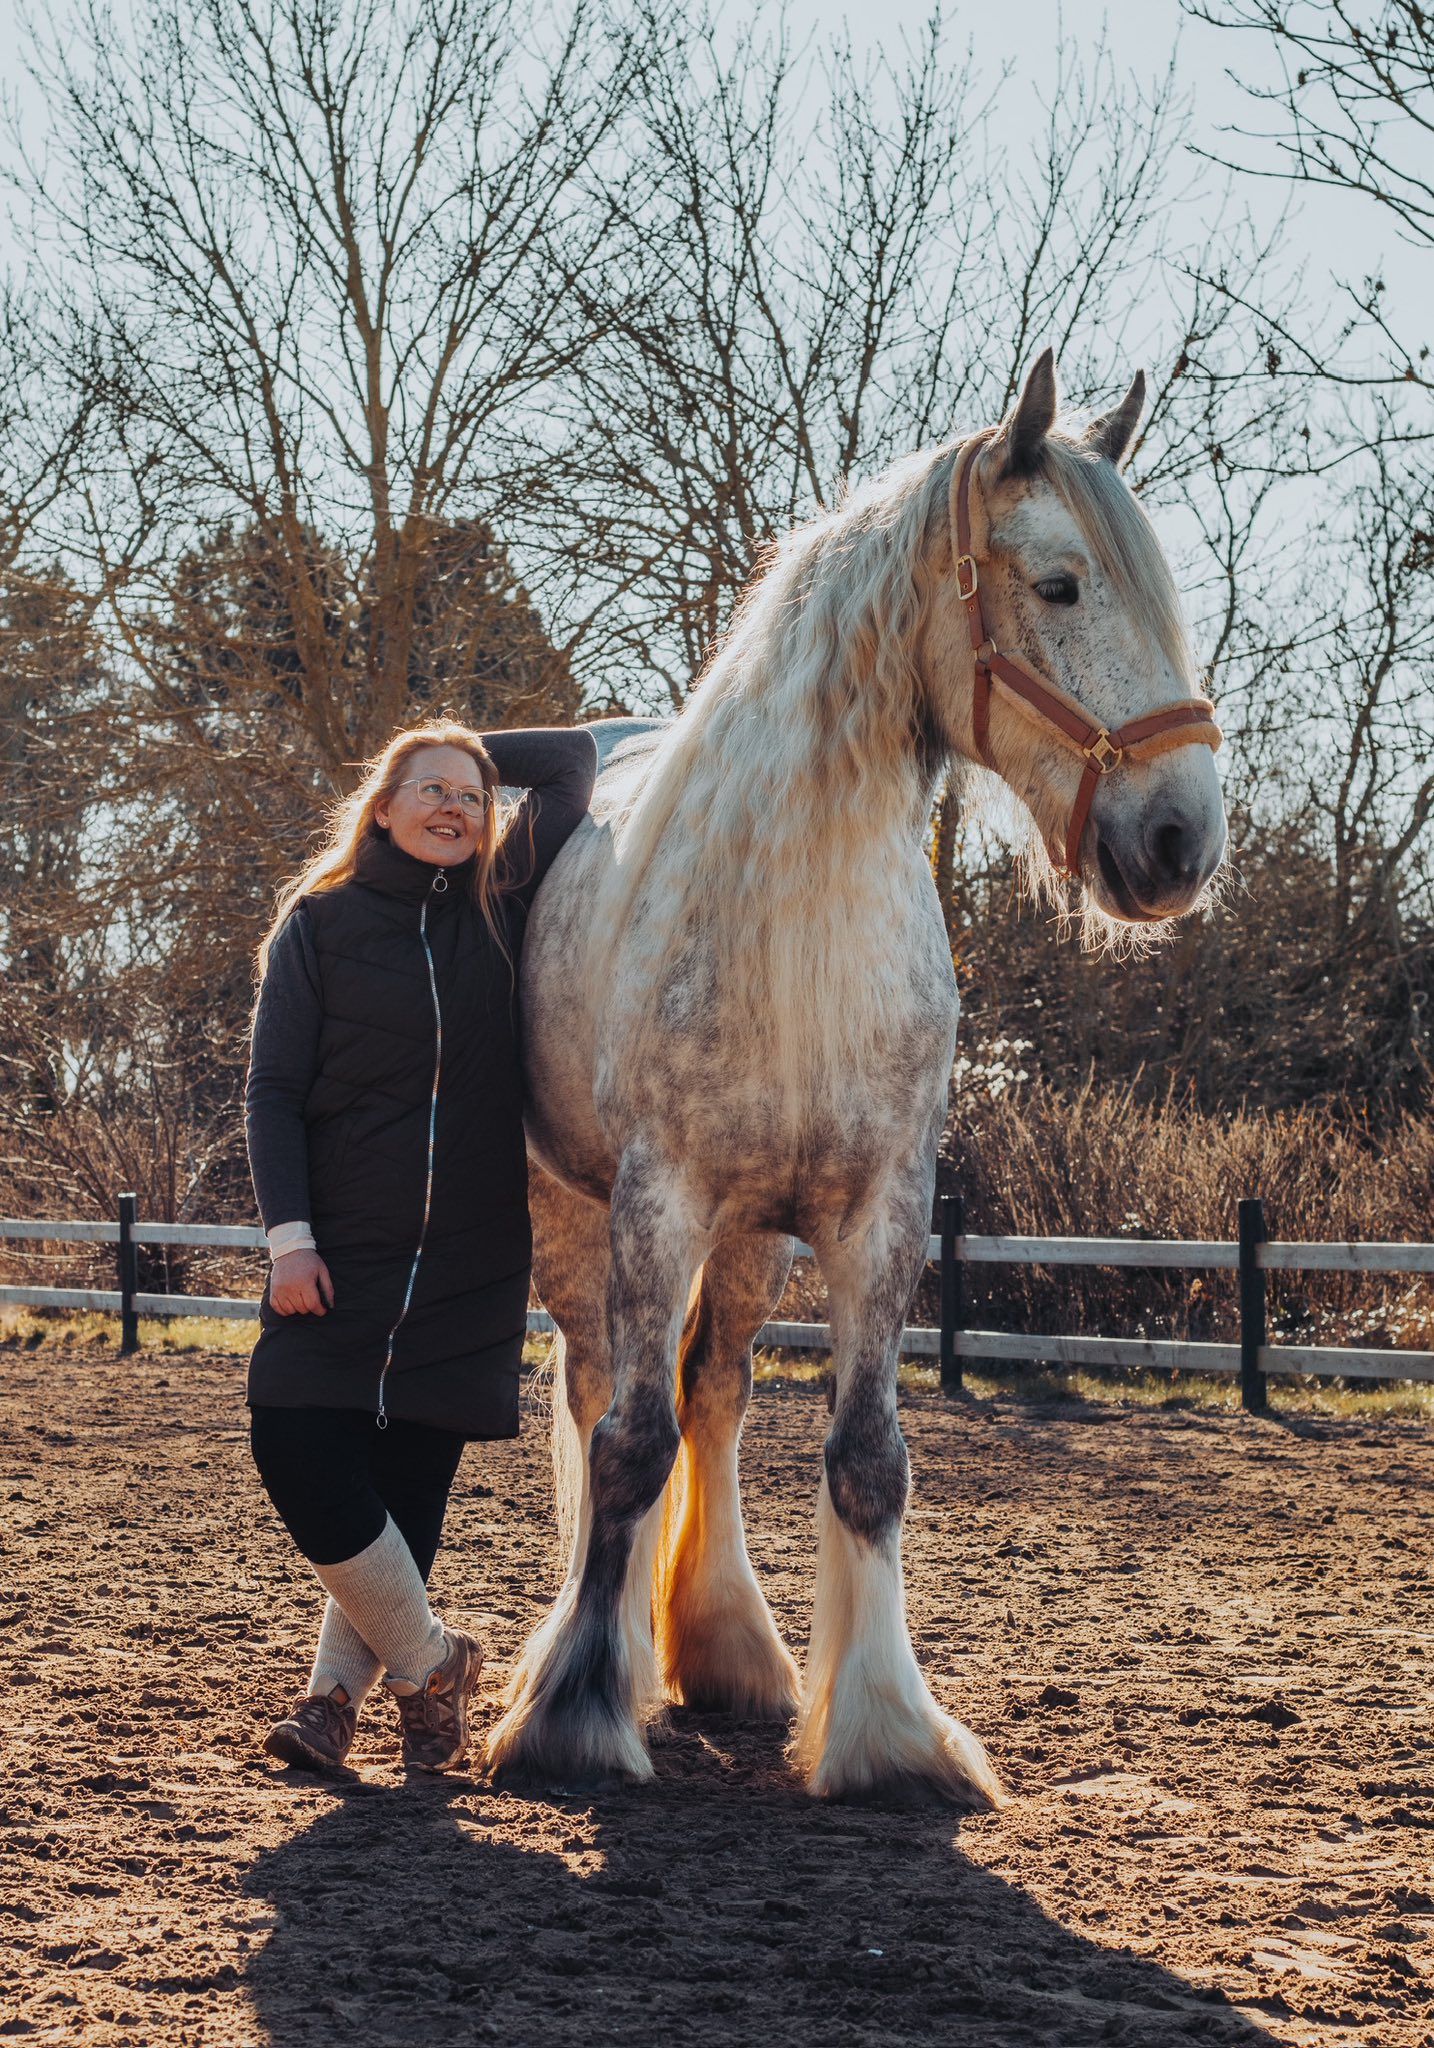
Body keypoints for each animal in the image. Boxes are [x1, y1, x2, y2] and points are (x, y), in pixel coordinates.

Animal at [484, 349, 1227, 1805]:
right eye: (1060, 583)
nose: (1182, 838)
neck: (798, 918)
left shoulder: (878, 1212)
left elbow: (865, 1458)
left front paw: (884, 1730)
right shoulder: (657, 1200)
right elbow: (627, 1448)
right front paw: (575, 1715)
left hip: (752, 1239)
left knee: (711, 1398)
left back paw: (726, 1650)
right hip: (578, 1213)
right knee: (604, 1396)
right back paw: (606, 1655)